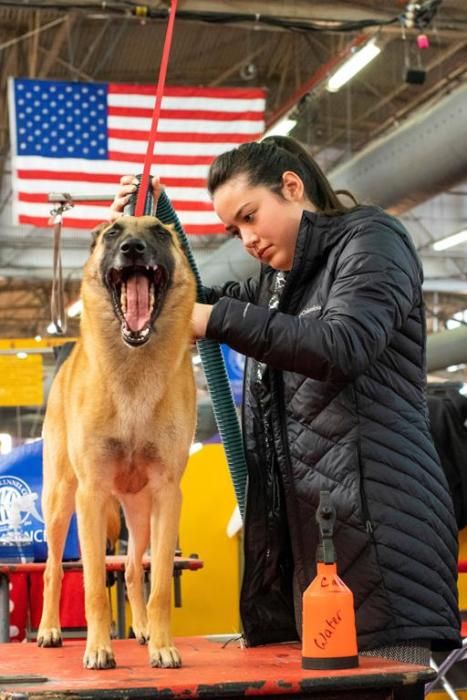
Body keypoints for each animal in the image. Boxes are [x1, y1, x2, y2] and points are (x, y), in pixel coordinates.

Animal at [37, 216, 197, 668]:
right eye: (111, 232)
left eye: (160, 232)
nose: (133, 248)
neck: (133, 372)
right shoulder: (90, 495)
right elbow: (93, 586)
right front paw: (98, 649)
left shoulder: (167, 496)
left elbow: (158, 584)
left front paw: (163, 646)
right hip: (60, 502)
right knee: (53, 569)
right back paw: (49, 631)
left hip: (140, 514)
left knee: (129, 568)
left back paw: (142, 630)